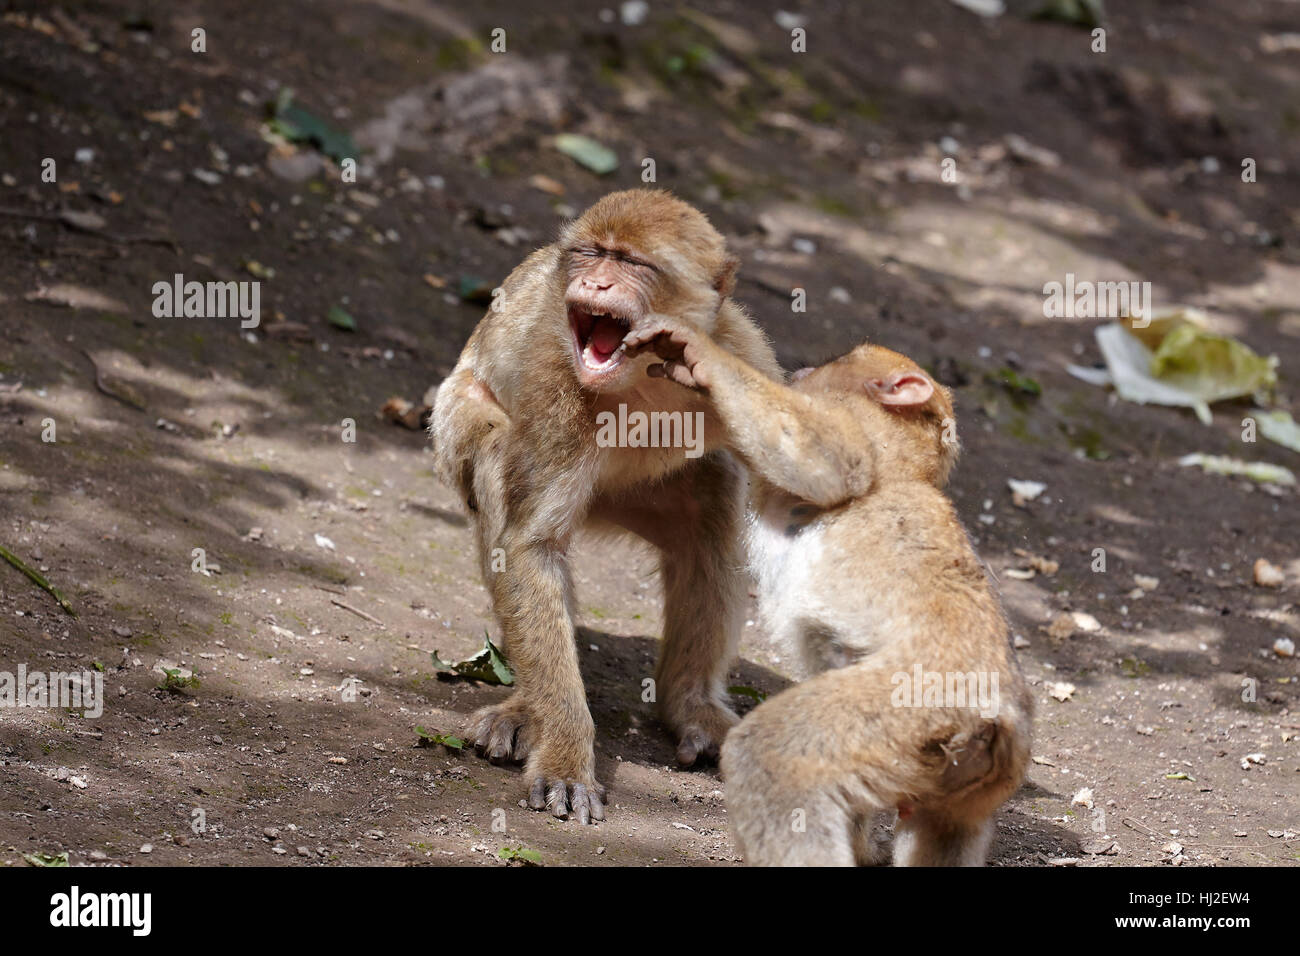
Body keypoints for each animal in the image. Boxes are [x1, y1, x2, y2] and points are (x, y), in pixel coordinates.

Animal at [430, 190, 780, 823]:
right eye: (592, 254)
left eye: (632, 263)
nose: (593, 283)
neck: (640, 378)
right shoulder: (557, 388)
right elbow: (530, 548)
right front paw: (567, 756)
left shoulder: (742, 357)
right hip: (452, 423)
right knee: (494, 461)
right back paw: (526, 712)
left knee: (715, 499)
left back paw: (690, 705)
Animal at [621, 322, 1033, 865]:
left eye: (840, 359)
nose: (803, 369)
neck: (911, 456)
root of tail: (1000, 721)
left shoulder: (861, 429)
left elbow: (832, 464)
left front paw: (699, 355)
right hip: (959, 776)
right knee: (943, 828)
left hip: (915, 702)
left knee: (769, 754)